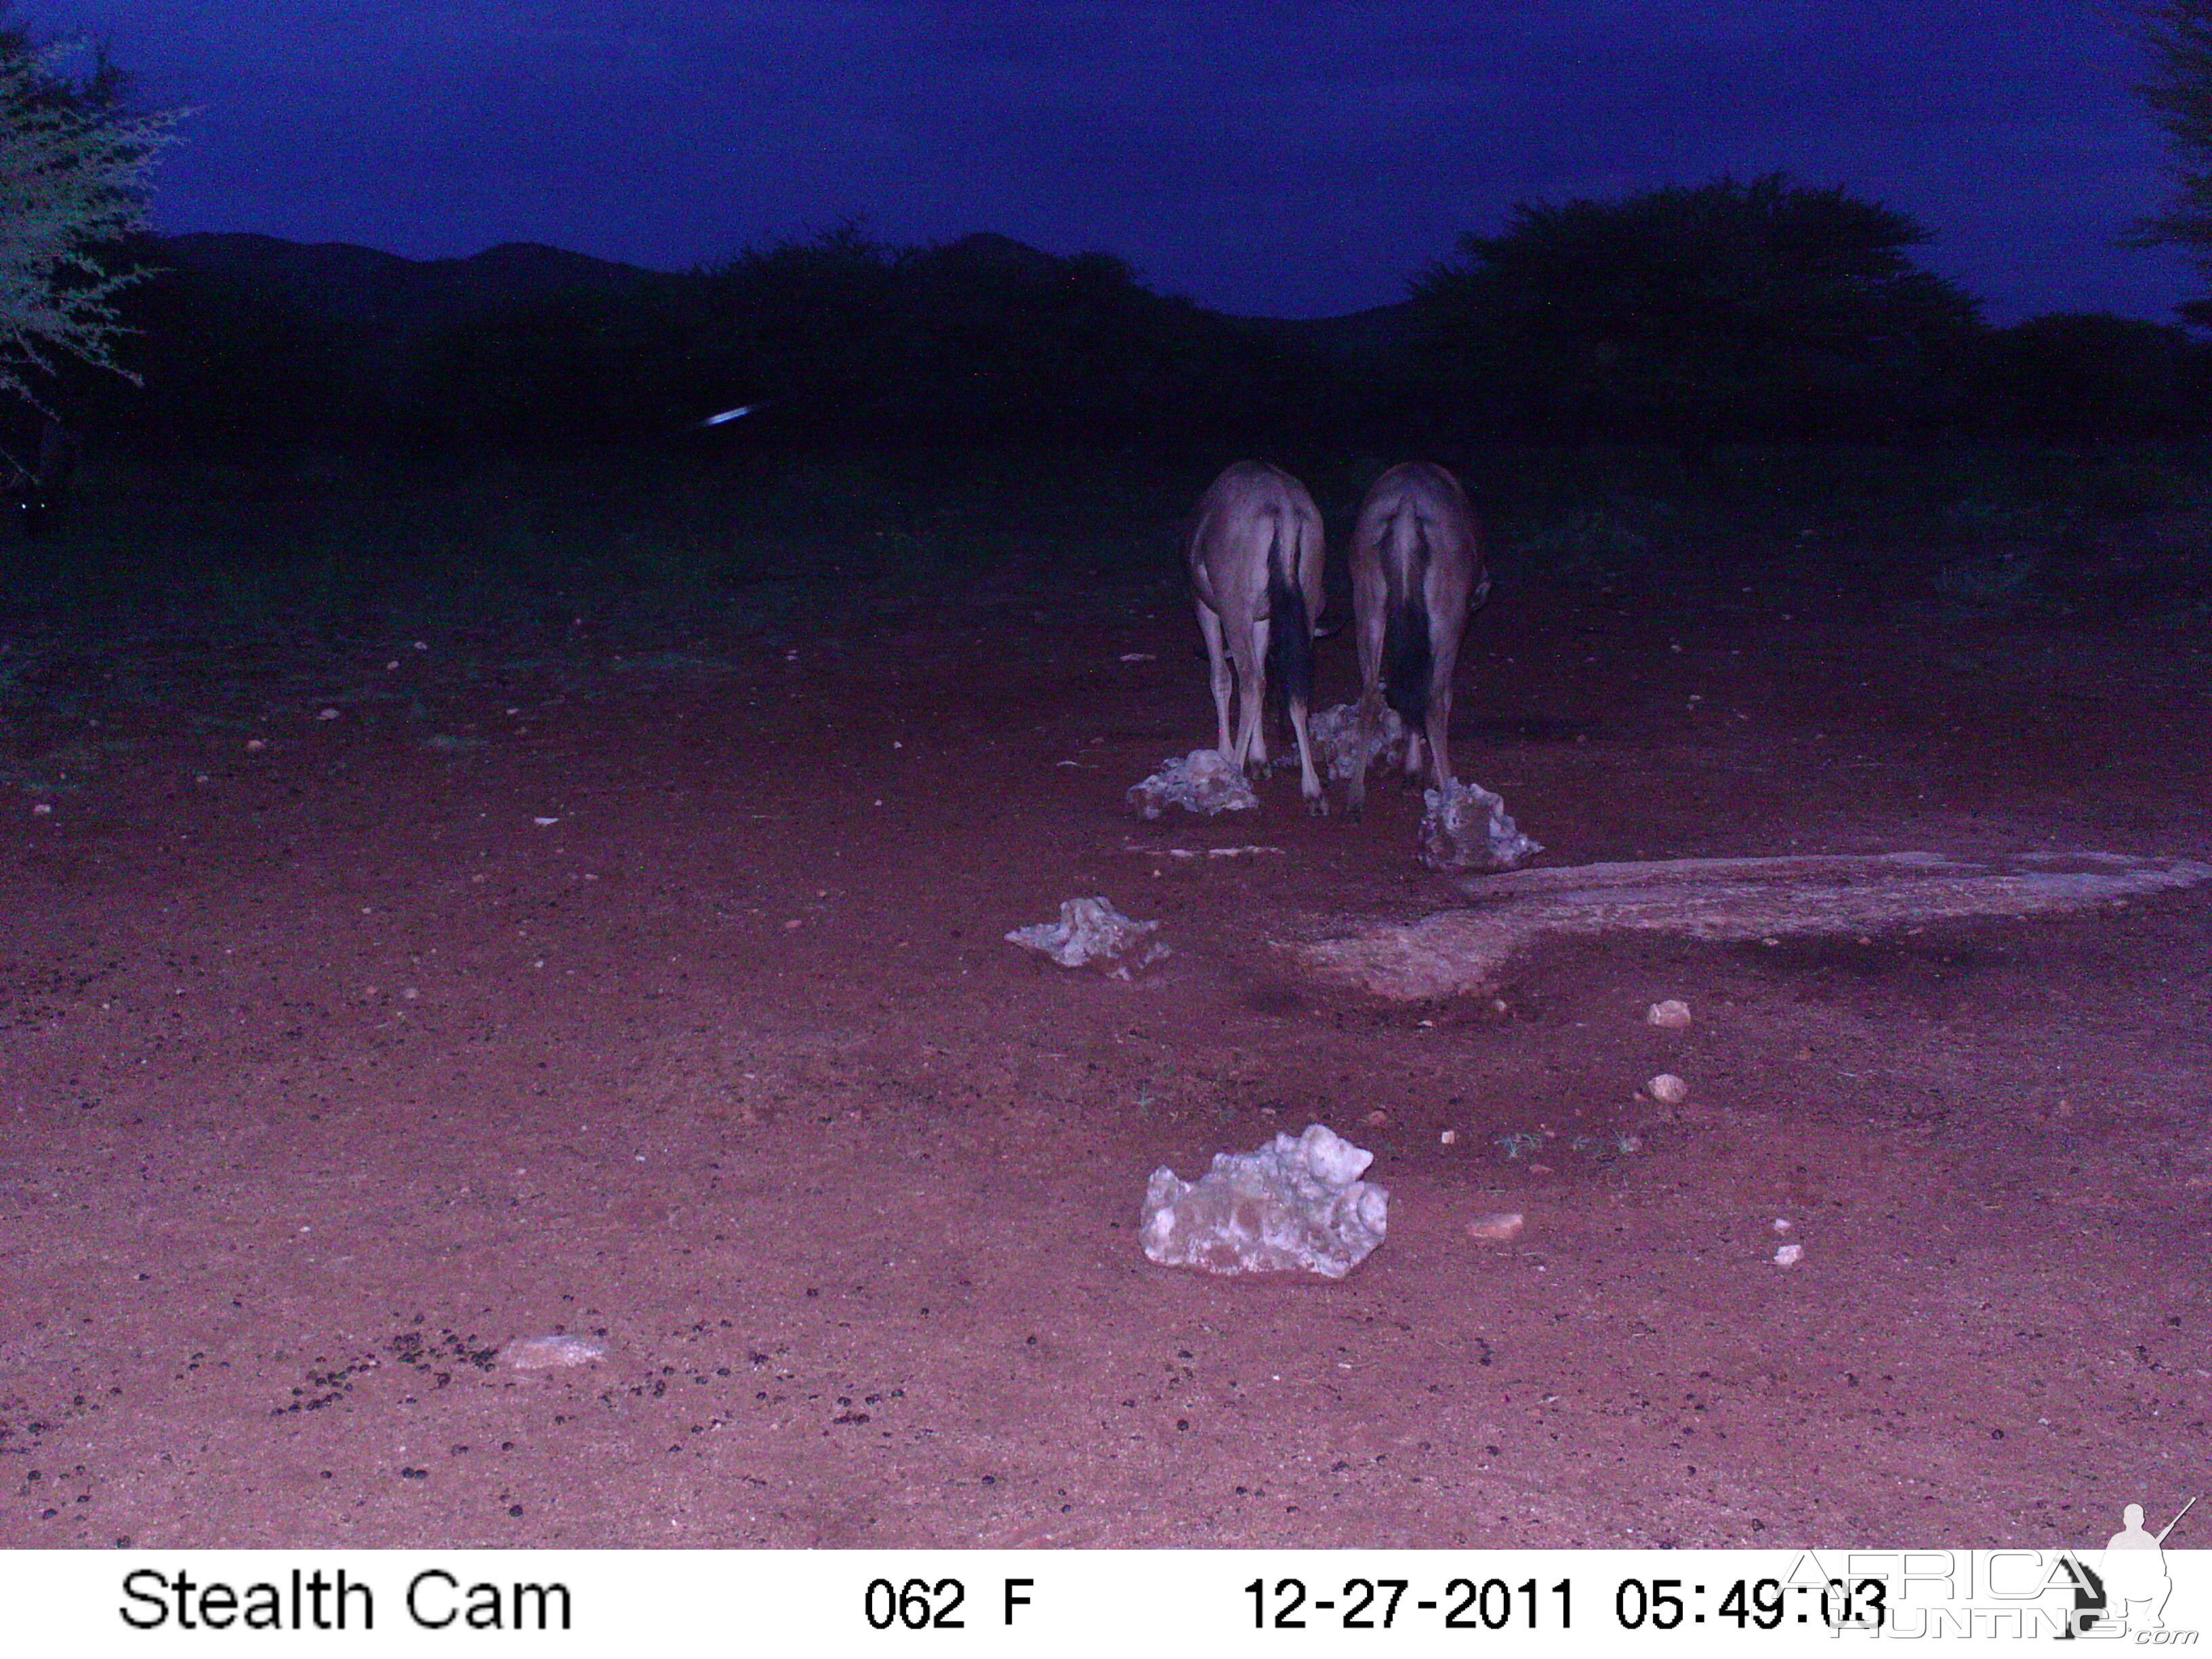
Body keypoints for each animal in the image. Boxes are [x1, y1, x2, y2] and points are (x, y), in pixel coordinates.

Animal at [1185, 462, 1318, 814]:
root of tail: (1284, 510)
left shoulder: (1207, 606)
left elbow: (1221, 678)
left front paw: (1227, 753)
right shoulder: (1264, 617)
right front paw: (1260, 759)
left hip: (1234, 607)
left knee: (1250, 681)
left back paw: (1233, 770)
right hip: (1307, 600)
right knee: (1296, 682)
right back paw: (1313, 790)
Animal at [1336, 462, 1495, 818]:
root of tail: (1407, 512)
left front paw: (1411, 771)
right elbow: (1439, 694)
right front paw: (1430, 774)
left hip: (1368, 602)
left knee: (1371, 694)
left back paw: (1354, 797)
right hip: (1445, 614)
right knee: (1435, 697)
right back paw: (1450, 791)